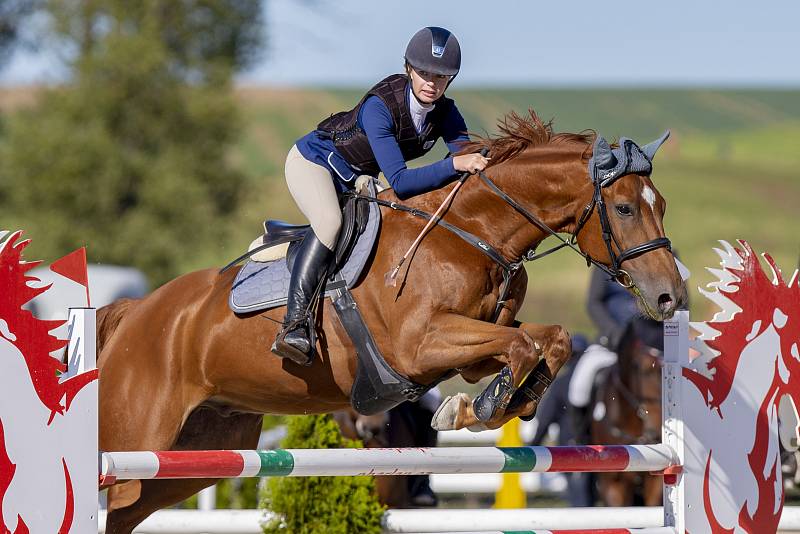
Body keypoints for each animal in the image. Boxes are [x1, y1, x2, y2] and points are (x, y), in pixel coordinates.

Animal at [98, 112, 688, 532]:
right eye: (626, 209)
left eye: (662, 204)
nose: (671, 296)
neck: (472, 231)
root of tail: (137, 312)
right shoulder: (419, 346)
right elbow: (522, 345)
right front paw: (476, 411)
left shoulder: (473, 350)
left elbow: (546, 340)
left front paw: (498, 404)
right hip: (134, 434)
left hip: (199, 453)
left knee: (125, 512)